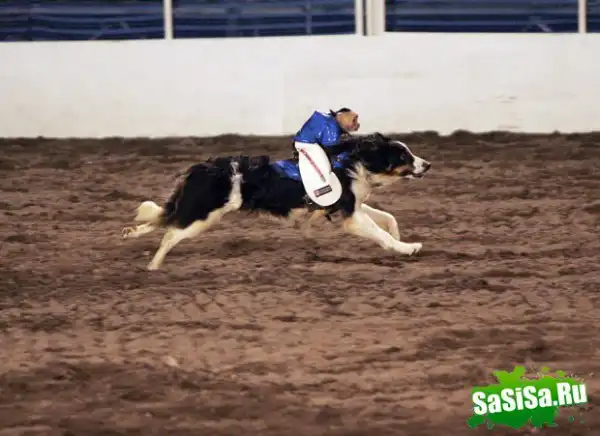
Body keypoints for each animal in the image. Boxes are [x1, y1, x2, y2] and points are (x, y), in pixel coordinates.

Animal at [122, 132, 431, 270]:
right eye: (403, 156)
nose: (427, 164)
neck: (353, 162)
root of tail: (200, 168)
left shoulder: (349, 206)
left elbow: (388, 218)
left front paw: (400, 238)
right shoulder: (350, 216)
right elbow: (379, 233)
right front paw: (408, 248)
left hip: (196, 210)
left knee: (164, 219)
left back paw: (132, 234)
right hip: (204, 216)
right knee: (171, 233)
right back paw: (154, 267)